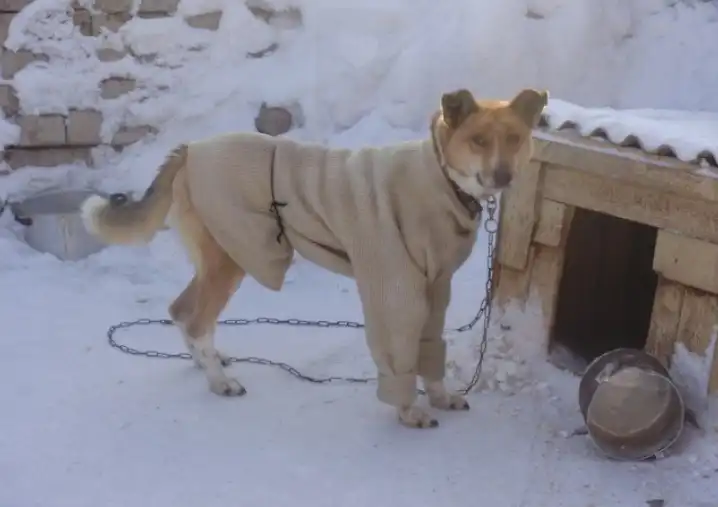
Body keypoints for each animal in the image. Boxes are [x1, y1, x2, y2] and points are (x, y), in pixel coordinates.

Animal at [81, 88, 548, 429]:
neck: (440, 176)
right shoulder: (395, 291)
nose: (504, 176)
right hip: (233, 258)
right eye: (479, 140)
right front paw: (409, 411)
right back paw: (220, 382)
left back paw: (204, 362)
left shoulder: (436, 287)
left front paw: (440, 395)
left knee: (181, 311)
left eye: (515, 139)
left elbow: (432, 352)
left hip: (219, 258)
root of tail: (191, 148)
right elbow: (400, 355)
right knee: (196, 320)